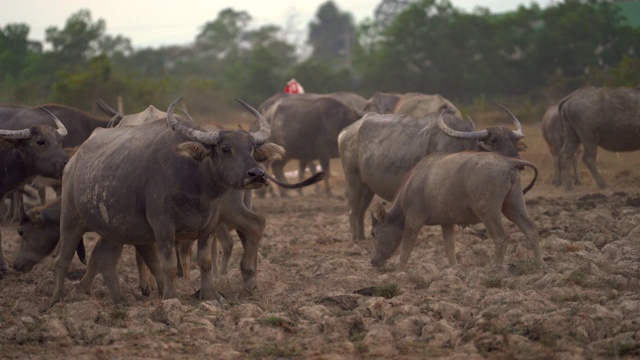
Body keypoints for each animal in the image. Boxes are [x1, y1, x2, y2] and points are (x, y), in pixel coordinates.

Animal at [50, 97, 284, 306]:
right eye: (225, 148)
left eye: (251, 148)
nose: (257, 174)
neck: (194, 183)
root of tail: (73, 161)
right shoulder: (162, 227)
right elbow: (167, 264)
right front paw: (170, 297)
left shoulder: (208, 226)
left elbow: (205, 262)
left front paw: (210, 295)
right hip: (71, 218)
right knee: (63, 258)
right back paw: (58, 298)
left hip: (113, 229)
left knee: (104, 258)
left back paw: (117, 300)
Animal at [338, 107, 528, 242]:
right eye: (494, 140)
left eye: (513, 140)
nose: (519, 162)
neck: (461, 146)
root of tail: (345, 133)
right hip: (353, 179)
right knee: (353, 210)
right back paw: (356, 241)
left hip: (367, 186)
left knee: (362, 210)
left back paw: (363, 237)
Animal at [370, 150, 544, 272]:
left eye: (373, 233)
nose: (373, 261)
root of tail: (507, 161)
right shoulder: (446, 223)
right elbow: (449, 247)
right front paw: (453, 268)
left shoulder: (414, 220)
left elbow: (406, 248)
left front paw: (399, 271)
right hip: (513, 205)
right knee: (530, 228)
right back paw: (539, 264)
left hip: (488, 211)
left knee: (501, 237)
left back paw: (496, 267)